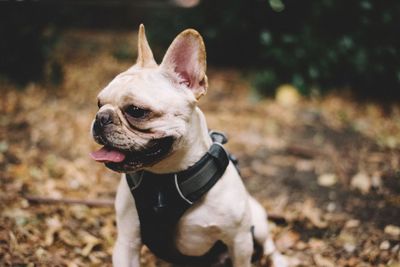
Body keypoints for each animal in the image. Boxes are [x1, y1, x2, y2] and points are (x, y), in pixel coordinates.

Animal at [90, 25, 288, 267]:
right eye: (99, 103)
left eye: (136, 110)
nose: (101, 118)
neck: (165, 180)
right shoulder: (127, 243)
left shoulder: (239, 241)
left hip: (257, 223)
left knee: (268, 244)